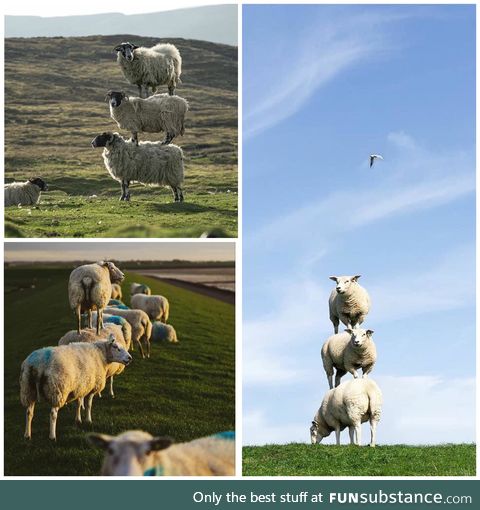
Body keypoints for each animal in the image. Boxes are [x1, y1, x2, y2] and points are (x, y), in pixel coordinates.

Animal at [90, 39, 189, 201]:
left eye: (102, 137)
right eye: (122, 49)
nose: (92, 143)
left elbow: (125, 186)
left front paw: (124, 198)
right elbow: (123, 186)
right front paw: (124, 198)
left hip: (170, 121)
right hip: (170, 172)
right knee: (174, 188)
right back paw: (176, 199)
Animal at [312, 274, 382, 446]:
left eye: (348, 281)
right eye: (337, 281)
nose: (338, 288)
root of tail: (368, 392)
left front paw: (342, 444)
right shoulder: (350, 364)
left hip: (358, 407)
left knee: (361, 427)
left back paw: (363, 444)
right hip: (329, 360)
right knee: (331, 376)